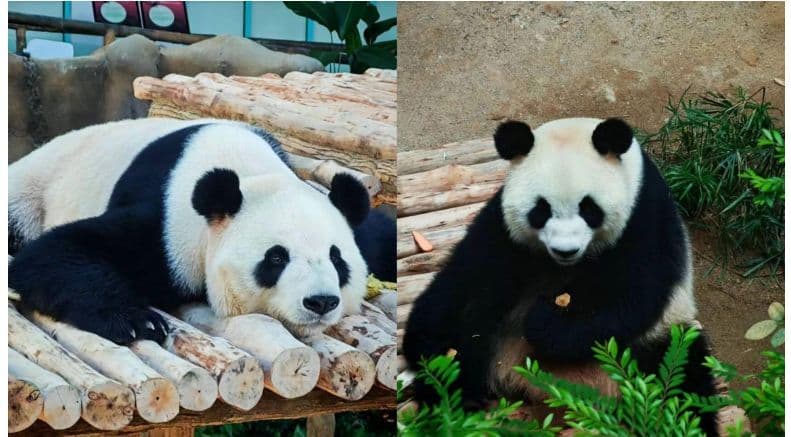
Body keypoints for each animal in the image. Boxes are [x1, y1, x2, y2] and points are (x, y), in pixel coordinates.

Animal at [9, 118, 373, 344]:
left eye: (337, 260)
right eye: (276, 258)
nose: (321, 301)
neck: (247, 170)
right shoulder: (167, 225)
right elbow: (55, 253)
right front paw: (138, 321)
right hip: (31, 190)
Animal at [403, 118, 717, 435]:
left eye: (589, 208)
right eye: (540, 210)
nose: (565, 250)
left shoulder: (645, 216)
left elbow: (632, 299)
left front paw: (545, 324)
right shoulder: (504, 230)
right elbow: (465, 281)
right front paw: (426, 349)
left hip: (655, 343)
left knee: (682, 377)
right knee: (471, 331)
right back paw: (452, 400)